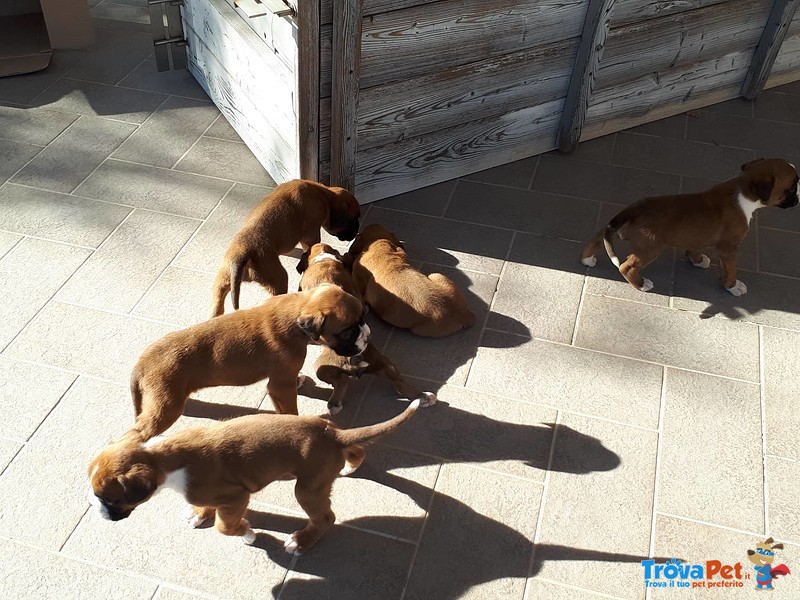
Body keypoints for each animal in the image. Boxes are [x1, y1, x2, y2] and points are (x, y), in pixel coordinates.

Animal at [89, 396, 418, 556]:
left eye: (110, 500)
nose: (99, 513)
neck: (161, 458)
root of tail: (334, 435)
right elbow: (208, 508)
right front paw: (199, 514)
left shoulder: (236, 497)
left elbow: (225, 526)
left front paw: (246, 532)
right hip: (332, 452)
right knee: (357, 450)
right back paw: (352, 465)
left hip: (307, 489)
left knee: (325, 518)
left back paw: (301, 542)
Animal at [130, 284, 368, 438]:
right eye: (347, 332)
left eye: (363, 319)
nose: (367, 336)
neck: (295, 314)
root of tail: (140, 363)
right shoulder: (281, 386)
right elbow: (291, 411)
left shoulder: (279, 385)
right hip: (166, 408)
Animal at [208, 179, 360, 316]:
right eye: (353, 220)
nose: (357, 231)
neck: (324, 194)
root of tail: (243, 253)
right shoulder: (311, 235)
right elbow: (311, 247)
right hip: (279, 279)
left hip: (221, 282)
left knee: (217, 307)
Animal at [296, 241, 438, 414]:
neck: (323, 260)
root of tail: (353, 361)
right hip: (378, 363)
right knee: (397, 381)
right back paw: (423, 397)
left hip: (322, 368)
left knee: (343, 381)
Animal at [580, 156, 800, 294]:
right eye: (791, 188)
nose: (799, 196)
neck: (741, 189)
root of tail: (632, 211)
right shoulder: (729, 248)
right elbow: (730, 269)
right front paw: (732, 286)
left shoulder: (700, 237)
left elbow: (695, 248)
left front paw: (698, 260)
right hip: (651, 248)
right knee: (626, 266)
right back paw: (641, 284)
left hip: (614, 227)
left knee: (598, 236)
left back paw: (587, 258)